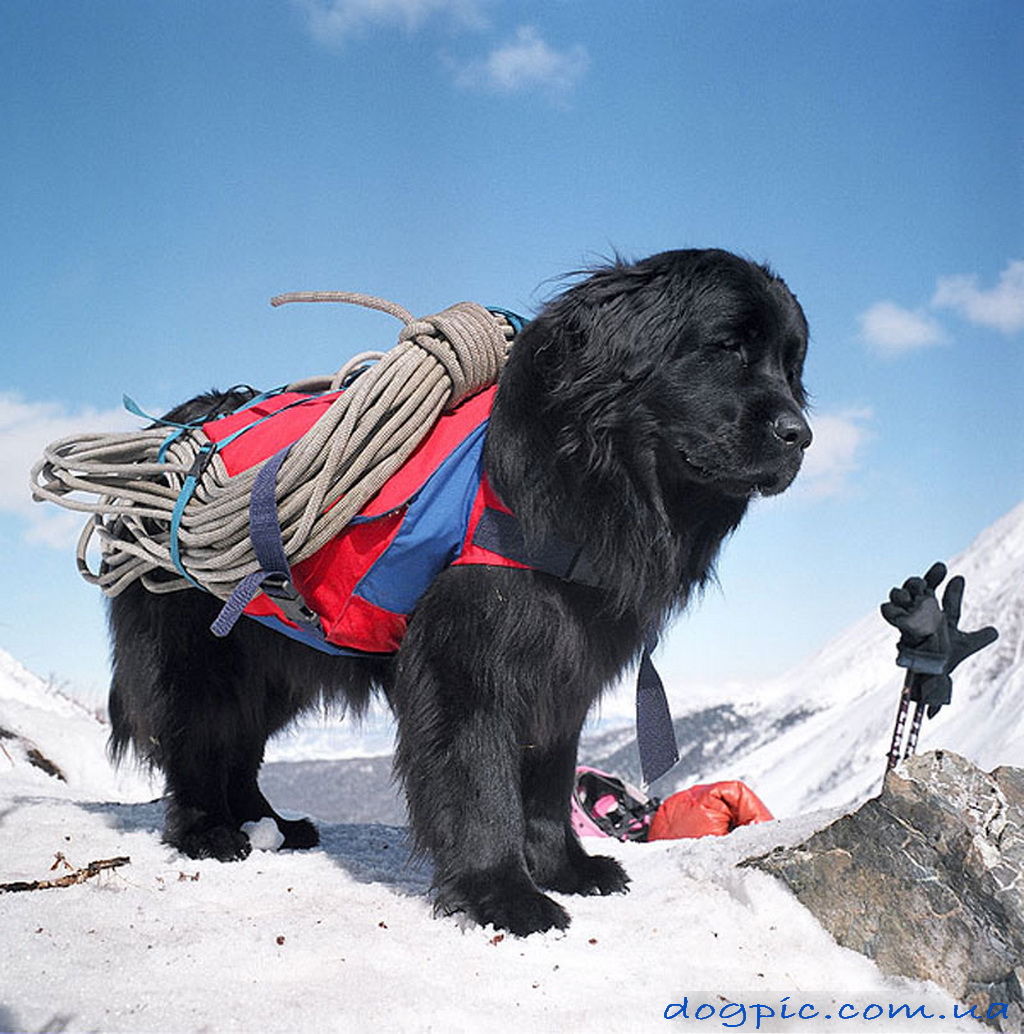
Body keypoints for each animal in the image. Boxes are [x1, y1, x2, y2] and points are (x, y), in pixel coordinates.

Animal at [104, 250, 810, 938]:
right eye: (727, 347)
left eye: (792, 365)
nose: (800, 434)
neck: (584, 479)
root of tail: (172, 431)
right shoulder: (469, 665)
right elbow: (480, 782)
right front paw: (505, 897)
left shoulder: (566, 666)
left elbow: (549, 781)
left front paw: (566, 869)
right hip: (206, 653)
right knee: (198, 741)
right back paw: (210, 833)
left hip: (276, 656)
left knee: (242, 745)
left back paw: (272, 824)